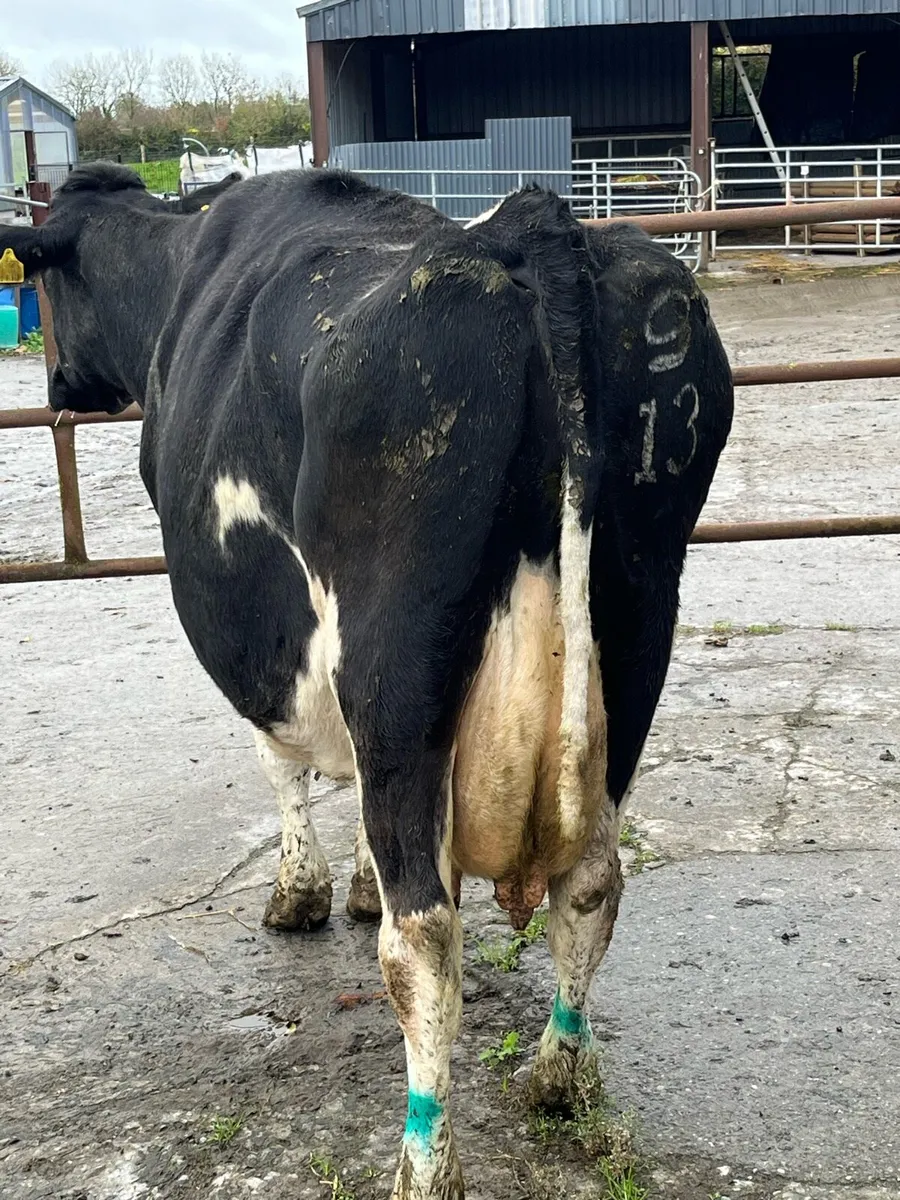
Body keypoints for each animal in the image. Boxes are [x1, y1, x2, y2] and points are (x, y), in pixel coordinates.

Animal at [3, 162, 733, 1200]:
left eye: (52, 291)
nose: (58, 385)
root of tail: (534, 226)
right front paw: (352, 882)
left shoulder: (261, 631)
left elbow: (281, 764)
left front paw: (301, 894)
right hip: (638, 630)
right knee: (590, 886)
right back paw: (558, 1072)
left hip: (396, 662)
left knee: (422, 940)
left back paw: (425, 1163)